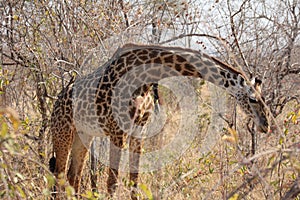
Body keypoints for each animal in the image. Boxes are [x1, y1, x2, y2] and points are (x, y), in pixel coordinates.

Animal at [49, 43, 270, 198]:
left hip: (84, 135)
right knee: (59, 176)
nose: (265, 125)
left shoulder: (140, 128)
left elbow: (134, 180)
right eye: (253, 98)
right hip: (62, 132)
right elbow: (112, 183)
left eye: (263, 97)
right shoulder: (117, 130)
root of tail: (57, 102)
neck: (144, 78)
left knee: (73, 177)